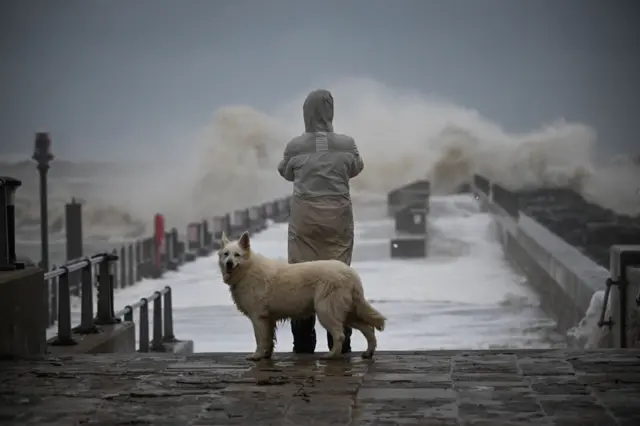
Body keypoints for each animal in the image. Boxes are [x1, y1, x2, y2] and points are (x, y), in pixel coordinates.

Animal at [220, 231, 384, 362]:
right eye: (226, 254)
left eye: (237, 255)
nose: (229, 264)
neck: (247, 270)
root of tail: (351, 274)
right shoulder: (268, 319)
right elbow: (269, 340)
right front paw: (266, 355)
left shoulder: (258, 317)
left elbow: (260, 339)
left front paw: (257, 356)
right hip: (348, 313)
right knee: (368, 330)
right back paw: (368, 353)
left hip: (326, 311)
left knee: (340, 335)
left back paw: (331, 356)